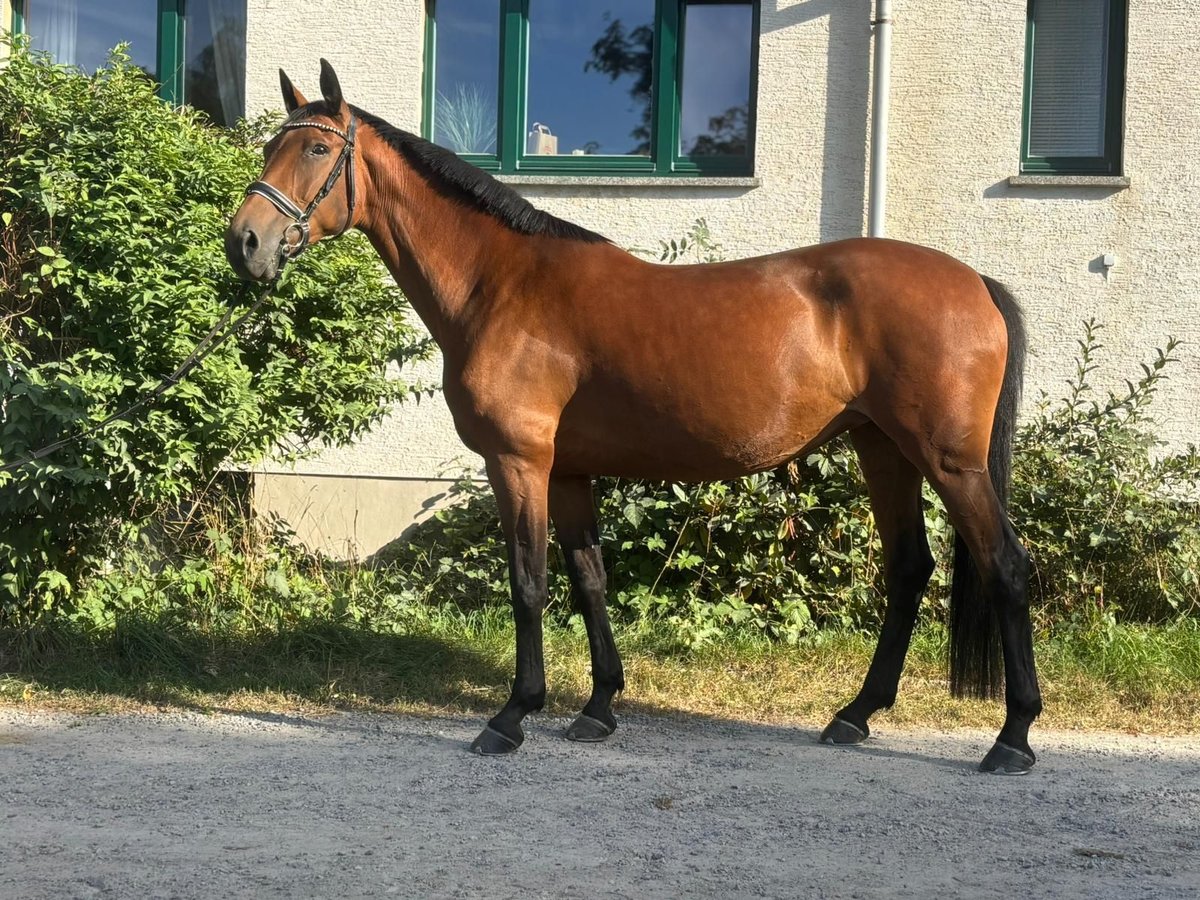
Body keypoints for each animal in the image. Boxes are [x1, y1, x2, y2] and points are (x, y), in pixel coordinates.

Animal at [225, 61, 1042, 774]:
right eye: (272, 147)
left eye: (318, 149)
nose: (246, 242)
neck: (502, 283)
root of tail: (974, 281)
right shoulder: (569, 473)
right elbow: (589, 579)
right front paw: (598, 709)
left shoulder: (519, 462)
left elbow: (528, 581)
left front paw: (511, 717)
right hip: (884, 449)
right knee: (908, 569)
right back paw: (855, 715)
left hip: (948, 461)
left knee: (1004, 564)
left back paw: (1012, 737)